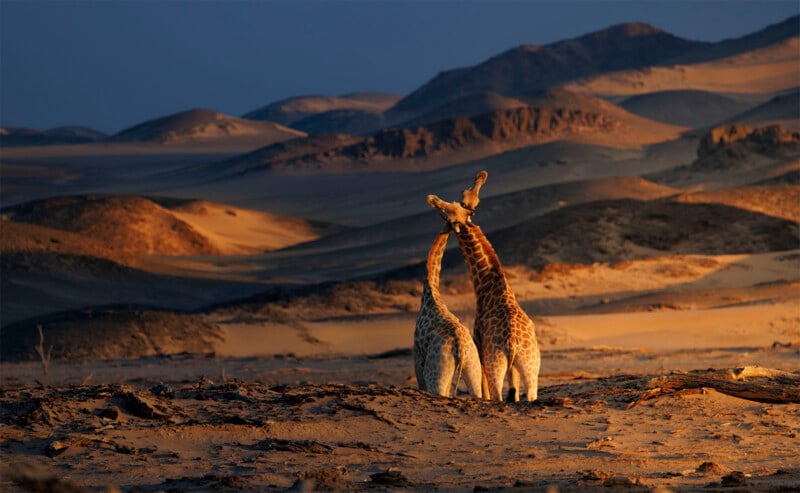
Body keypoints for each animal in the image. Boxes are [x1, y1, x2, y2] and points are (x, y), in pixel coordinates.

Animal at [427, 171, 540, 402]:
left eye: (446, 210)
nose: (431, 198)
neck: (489, 286)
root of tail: (512, 342)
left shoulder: (479, 344)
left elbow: (484, 388)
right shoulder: (514, 367)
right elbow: (514, 392)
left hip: (494, 361)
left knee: (495, 394)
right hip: (531, 364)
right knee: (531, 394)